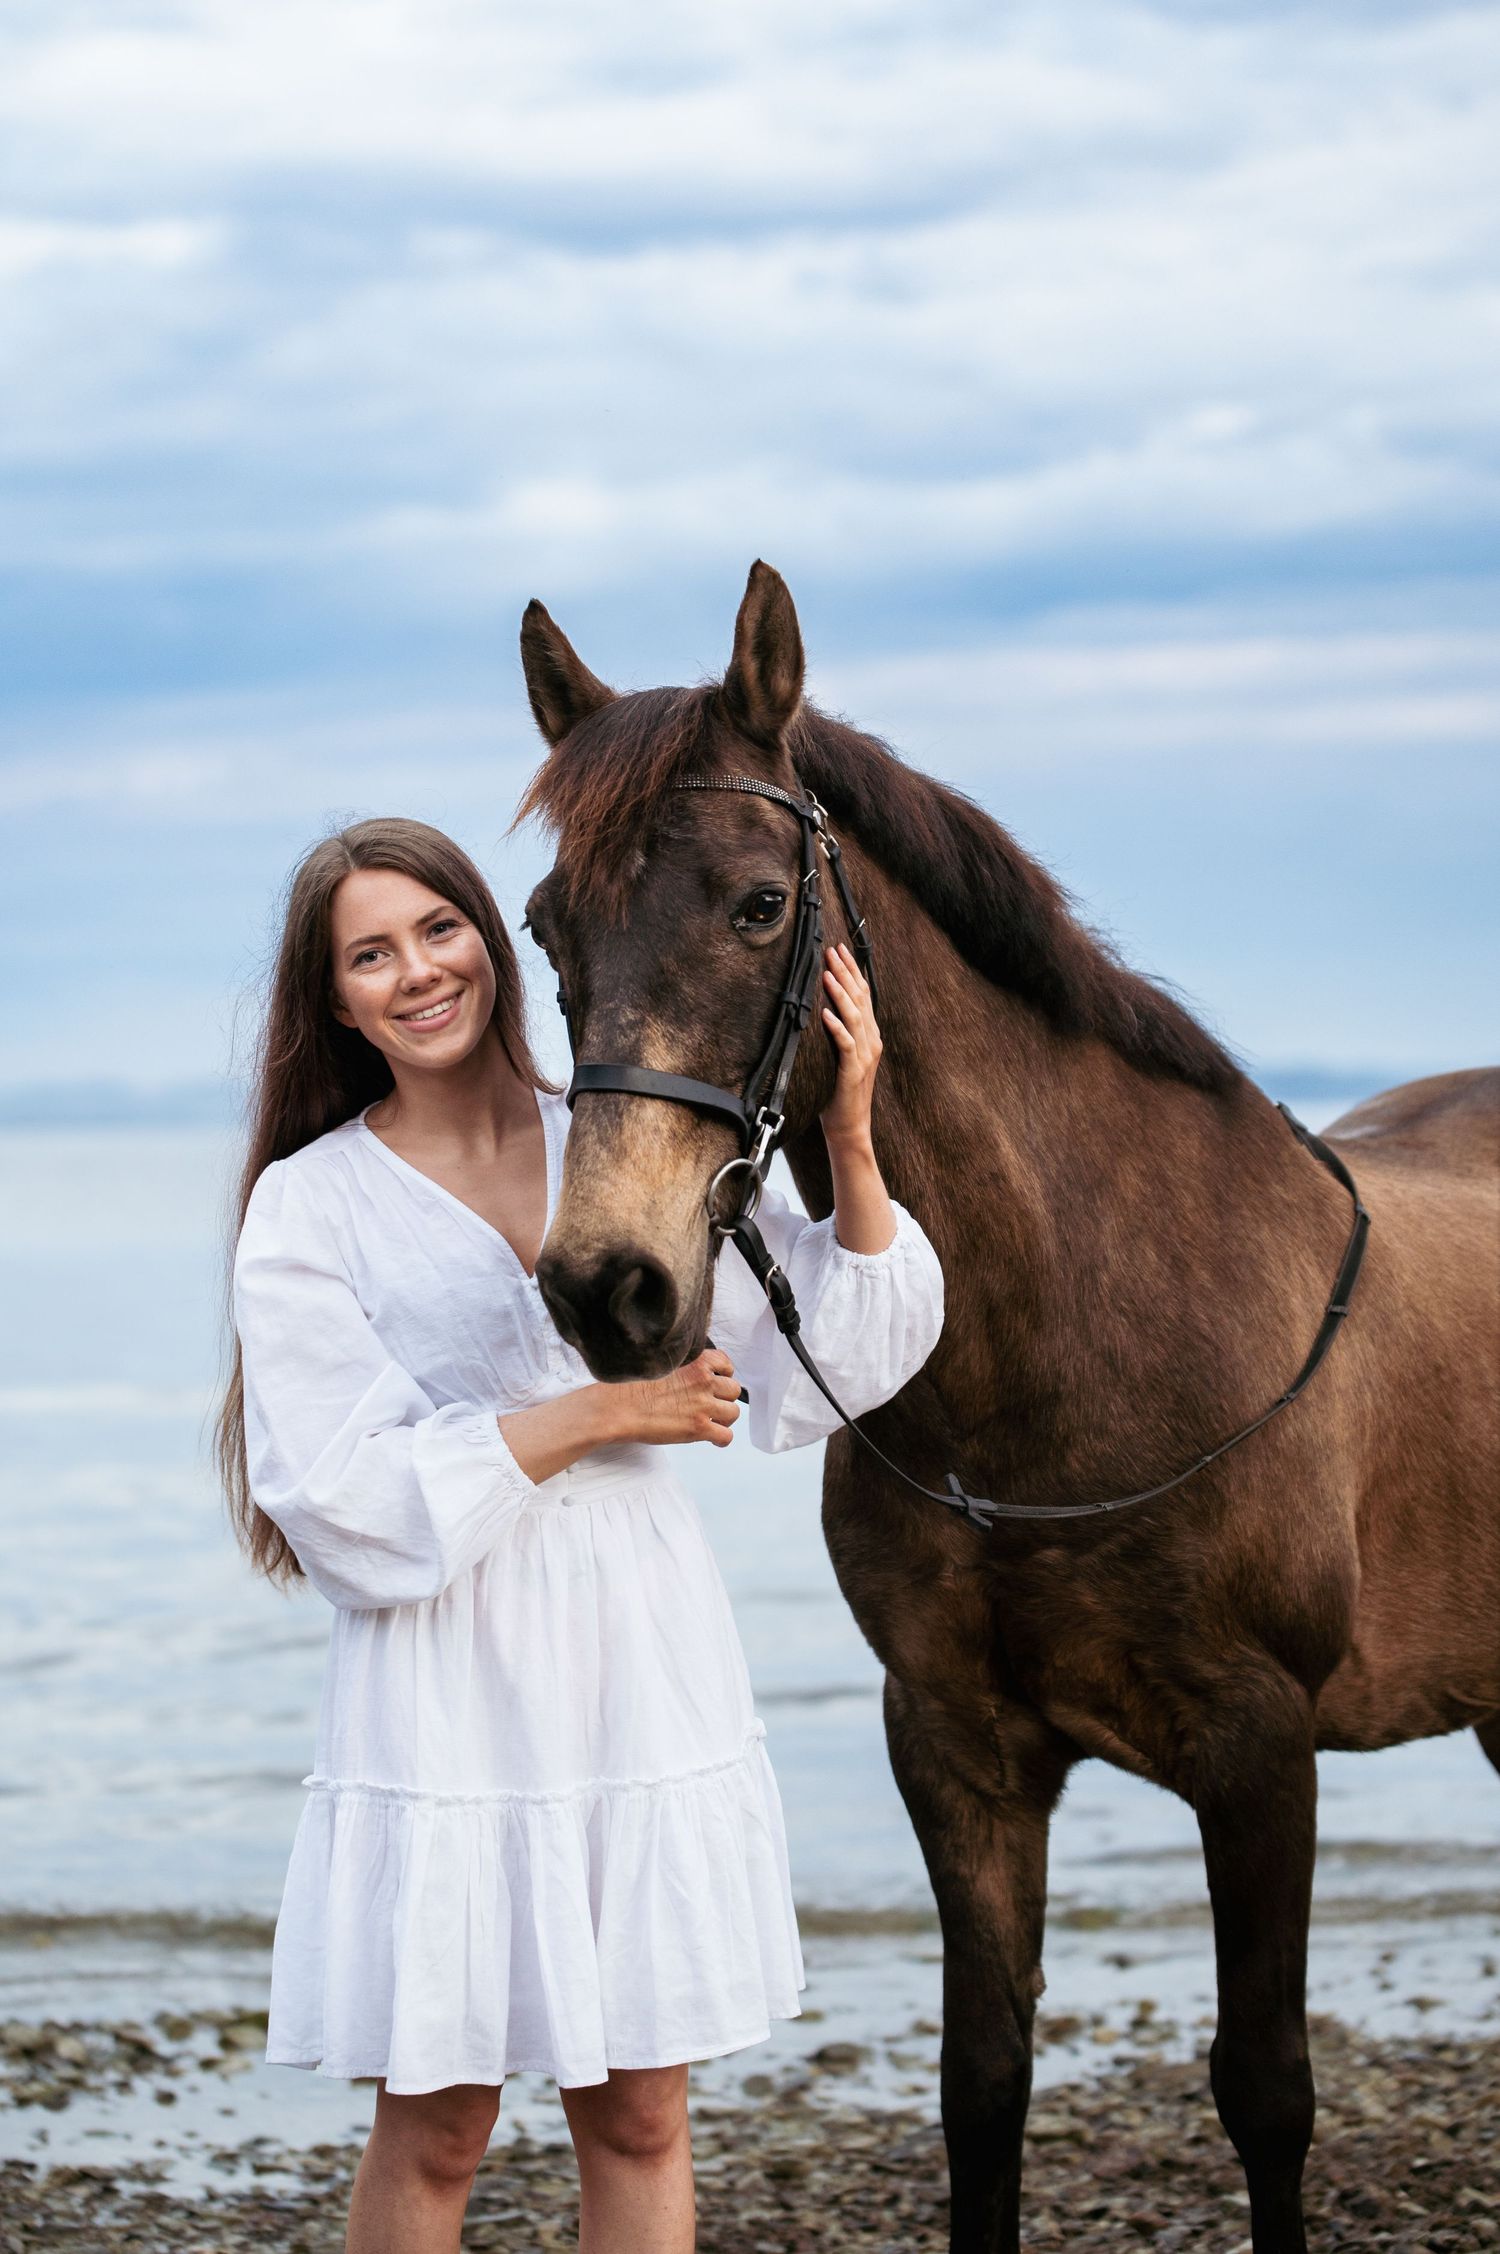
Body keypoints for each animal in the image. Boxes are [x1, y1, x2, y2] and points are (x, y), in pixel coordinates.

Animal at [513, 560, 1500, 2254]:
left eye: (759, 903)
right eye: (541, 923)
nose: (608, 1286)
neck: (1065, 1356)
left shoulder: (1261, 1754)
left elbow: (1267, 2087)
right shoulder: (958, 1747)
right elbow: (982, 2084)